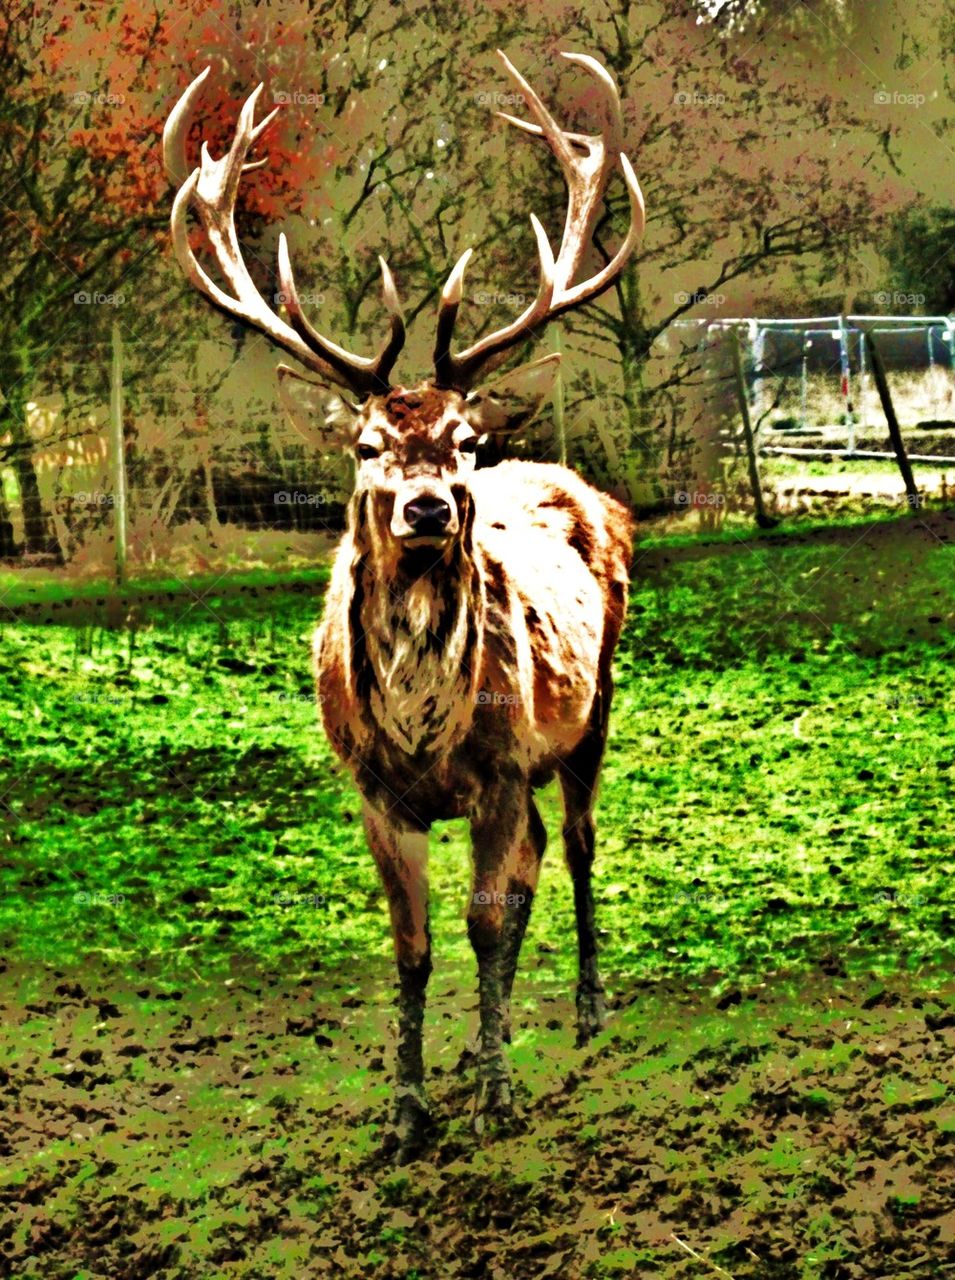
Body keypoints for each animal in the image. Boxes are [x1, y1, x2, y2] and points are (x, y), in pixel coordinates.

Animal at [163, 49, 644, 1163]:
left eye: (464, 437)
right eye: (367, 442)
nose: (427, 505)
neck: (424, 728)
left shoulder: (502, 764)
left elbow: (481, 916)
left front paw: (499, 1097)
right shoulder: (374, 788)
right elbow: (417, 943)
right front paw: (409, 1109)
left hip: (593, 703)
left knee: (575, 844)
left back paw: (588, 1006)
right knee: (535, 860)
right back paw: (477, 1045)